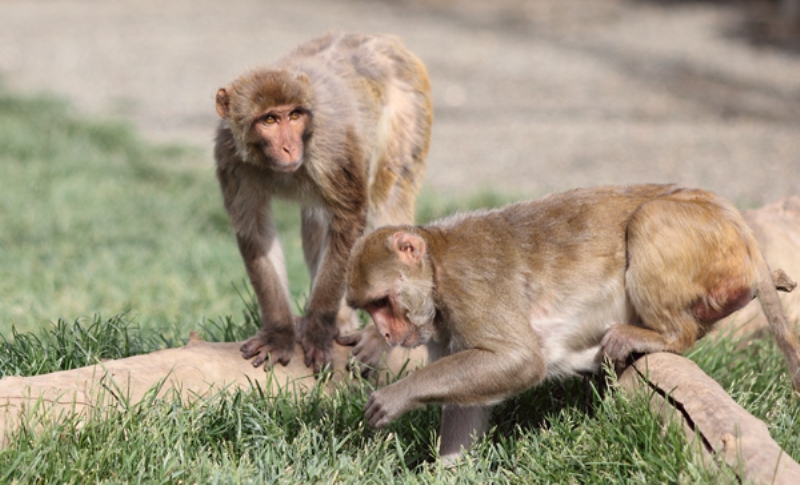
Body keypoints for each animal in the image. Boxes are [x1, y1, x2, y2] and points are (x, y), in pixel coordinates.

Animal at [214, 33, 433, 373]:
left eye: (294, 115)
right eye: (270, 119)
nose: (289, 148)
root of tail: (384, 41)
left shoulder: (332, 148)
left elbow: (350, 218)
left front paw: (318, 330)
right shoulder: (230, 156)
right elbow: (255, 233)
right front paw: (280, 333)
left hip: (408, 113)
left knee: (386, 202)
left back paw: (375, 333)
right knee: (316, 221)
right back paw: (341, 320)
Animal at [344, 183, 800, 462]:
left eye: (383, 302)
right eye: (370, 307)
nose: (384, 331)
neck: (436, 267)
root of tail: (733, 218)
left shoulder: (469, 285)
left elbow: (520, 360)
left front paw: (397, 395)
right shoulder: (442, 330)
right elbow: (468, 406)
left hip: (700, 237)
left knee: (649, 220)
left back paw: (666, 335)